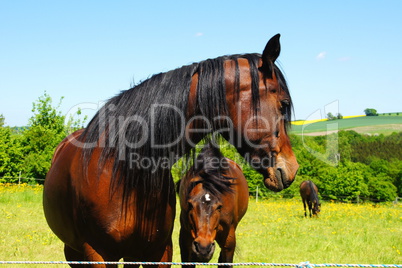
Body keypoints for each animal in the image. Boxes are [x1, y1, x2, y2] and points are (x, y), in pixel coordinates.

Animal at [43, 34, 298, 266]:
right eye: (284, 103)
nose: (292, 167)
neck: (122, 170)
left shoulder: (159, 250)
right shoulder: (98, 253)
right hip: (74, 251)